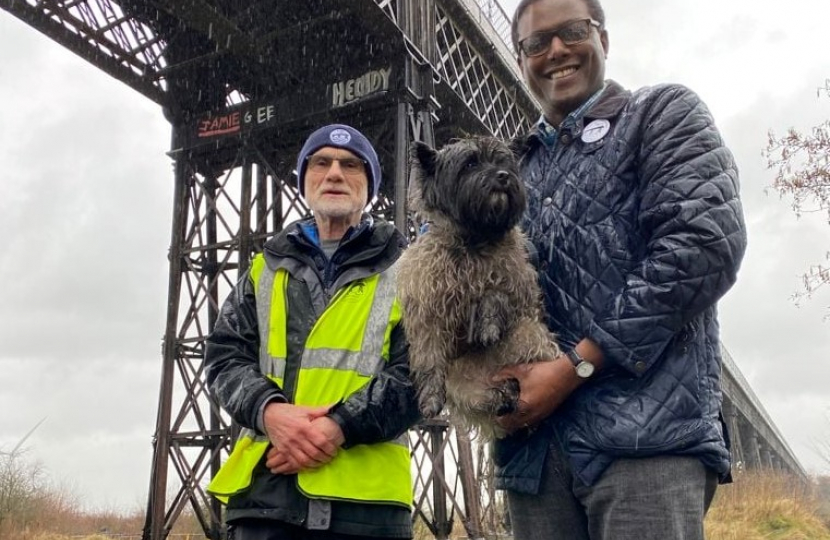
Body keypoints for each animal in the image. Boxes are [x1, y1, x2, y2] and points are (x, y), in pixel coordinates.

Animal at [398, 136, 564, 438]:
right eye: (470, 164)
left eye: (503, 162)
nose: (503, 176)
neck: (474, 240)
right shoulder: (427, 310)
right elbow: (428, 356)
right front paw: (430, 398)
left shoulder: (520, 288)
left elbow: (495, 292)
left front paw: (487, 325)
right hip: (460, 383)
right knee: (486, 397)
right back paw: (502, 396)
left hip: (527, 334)